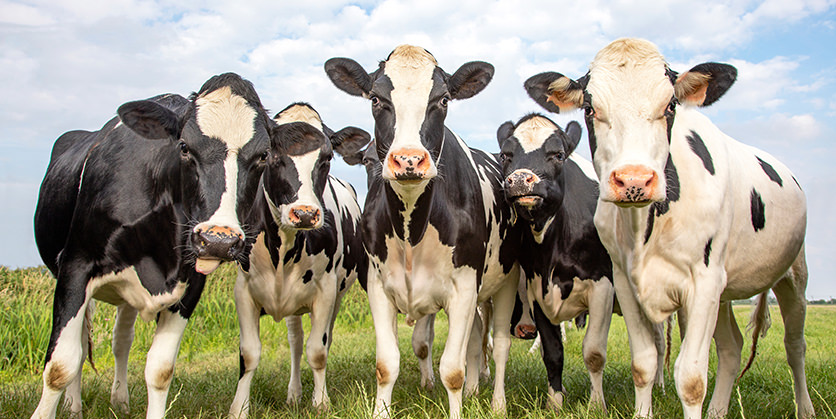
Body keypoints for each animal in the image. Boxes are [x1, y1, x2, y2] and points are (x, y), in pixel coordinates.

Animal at [32, 73, 274, 419]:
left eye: (263, 155)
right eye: (184, 147)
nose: (218, 240)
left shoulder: (189, 283)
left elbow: (160, 370)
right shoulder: (75, 267)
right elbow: (59, 365)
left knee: (121, 340)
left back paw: (120, 399)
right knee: (80, 344)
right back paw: (74, 406)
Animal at [228, 103, 371, 418]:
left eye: (327, 157)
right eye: (269, 155)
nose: (305, 214)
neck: (283, 249)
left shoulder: (326, 290)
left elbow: (317, 350)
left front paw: (321, 402)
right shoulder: (243, 289)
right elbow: (249, 353)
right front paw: (239, 407)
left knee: (322, 338)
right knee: (294, 342)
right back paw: (293, 393)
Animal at [324, 45, 522, 419]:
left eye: (442, 100)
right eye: (376, 98)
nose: (409, 160)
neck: (411, 229)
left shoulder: (464, 287)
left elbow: (453, 370)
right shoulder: (378, 285)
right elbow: (387, 364)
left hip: (507, 279)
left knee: (500, 343)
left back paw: (498, 403)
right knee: (476, 339)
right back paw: (475, 390)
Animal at [496, 113, 615, 411]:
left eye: (558, 155)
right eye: (505, 155)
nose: (519, 180)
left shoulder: (603, 286)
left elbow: (594, 351)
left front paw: (596, 405)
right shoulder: (538, 290)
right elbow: (553, 353)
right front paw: (555, 402)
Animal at [524, 37, 813, 419]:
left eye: (671, 104)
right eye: (589, 108)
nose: (634, 180)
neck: (643, 229)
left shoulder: (703, 282)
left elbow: (691, 378)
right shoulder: (625, 282)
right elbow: (643, 364)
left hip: (793, 276)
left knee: (795, 345)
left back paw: (805, 407)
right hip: (724, 293)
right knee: (732, 348)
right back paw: (717, 410)